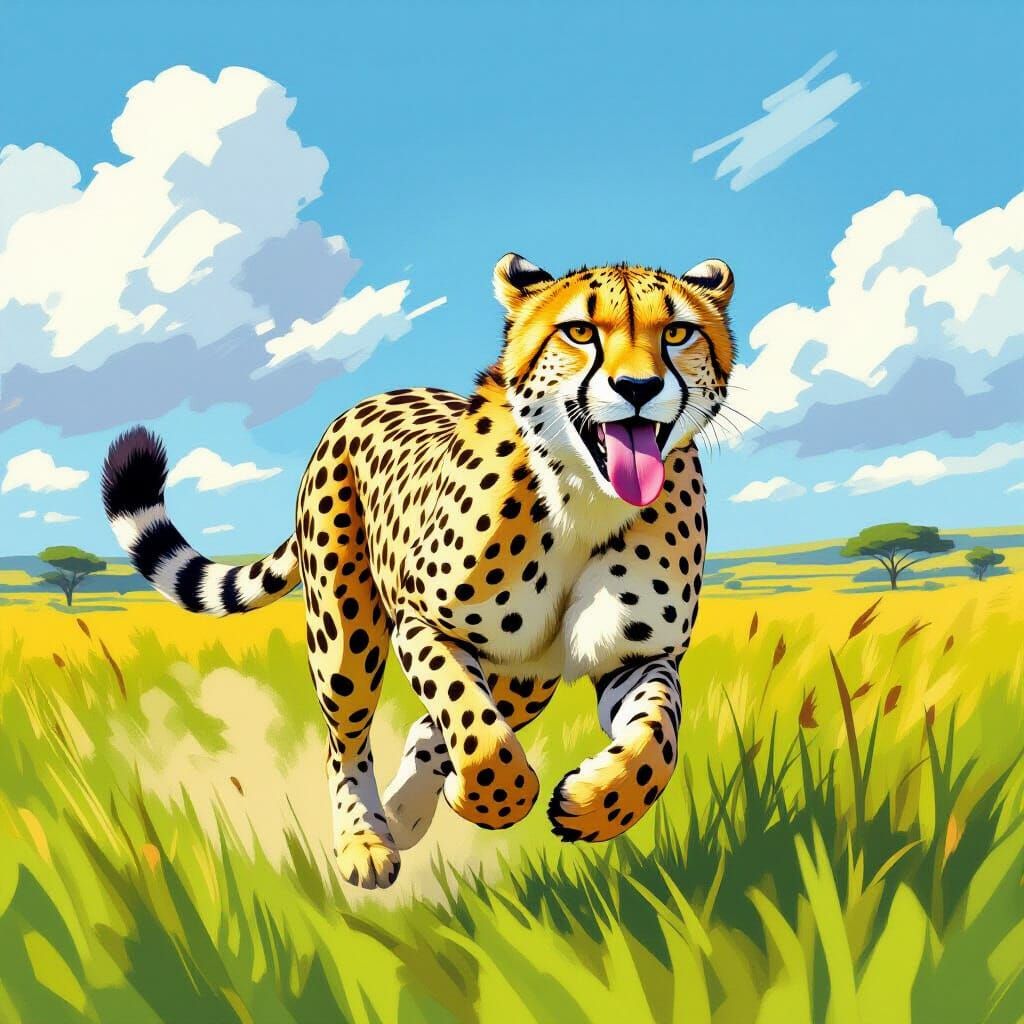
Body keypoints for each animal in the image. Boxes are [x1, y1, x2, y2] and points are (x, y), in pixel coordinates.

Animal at [101, 253, 735, 890]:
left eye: (677, 333)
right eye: (579, 331)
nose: (638, 388)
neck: (584, 498)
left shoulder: (636, 654)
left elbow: (658, 737)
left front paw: (597, 803)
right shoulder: (424, 625)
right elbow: (475, 728)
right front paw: (491, 798)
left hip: (527, 677)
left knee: (435, 728)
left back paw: (404, 813)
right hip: (346, 638)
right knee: (349, 740)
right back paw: (366, 840)